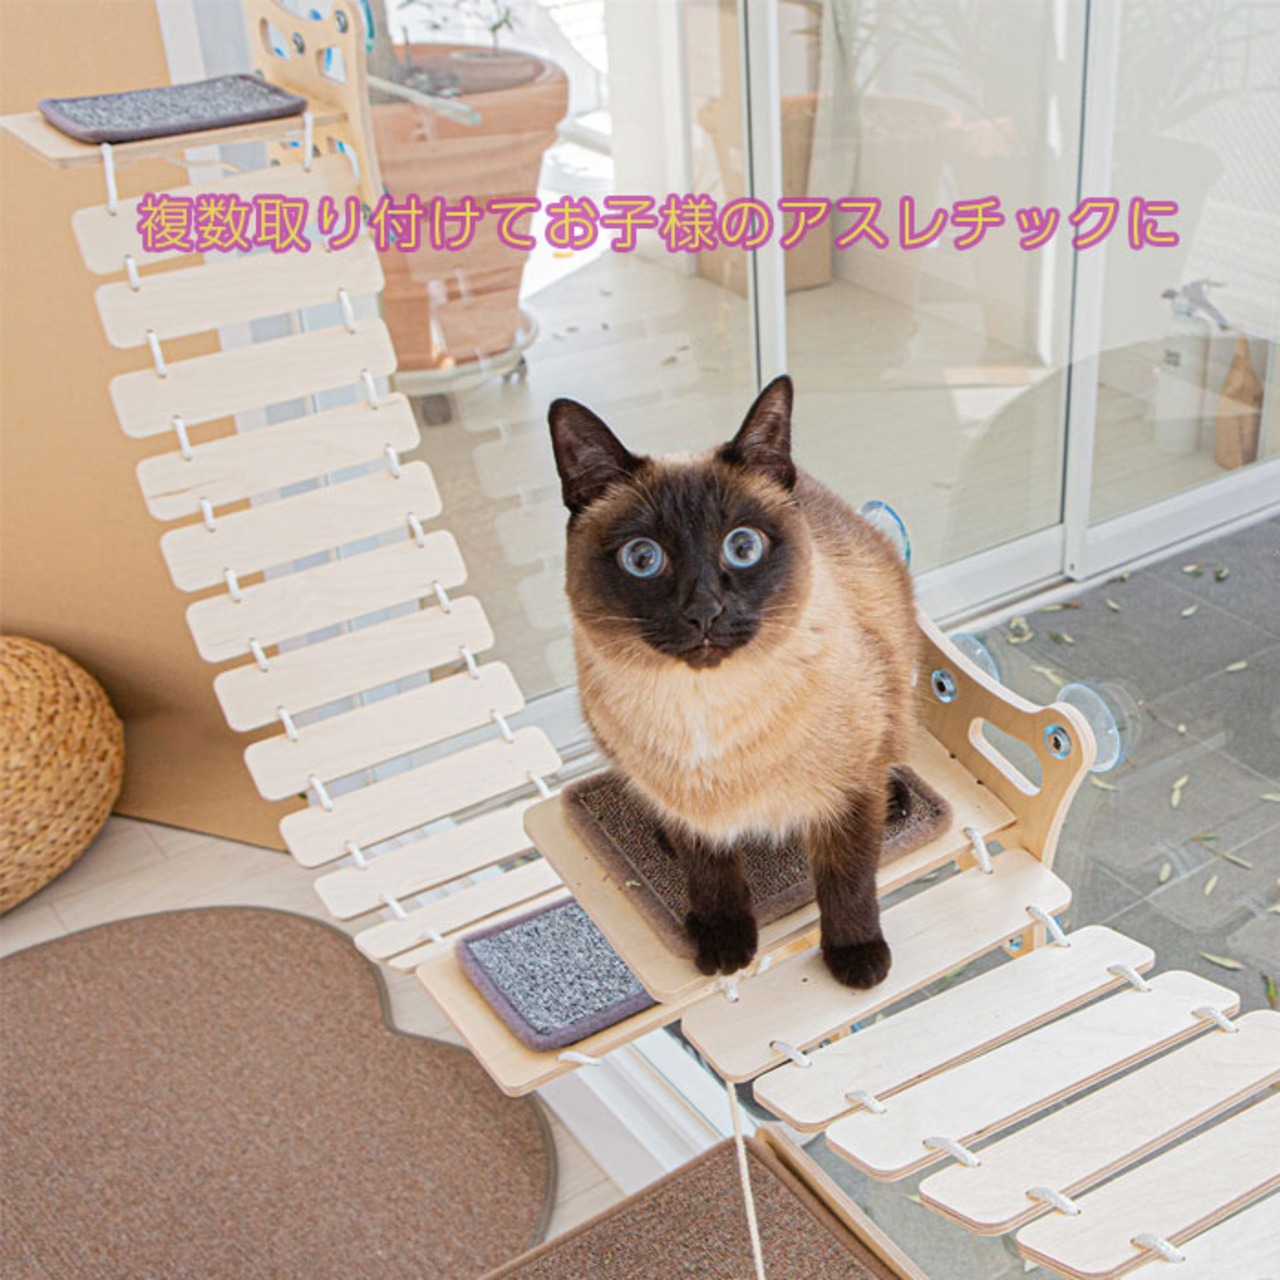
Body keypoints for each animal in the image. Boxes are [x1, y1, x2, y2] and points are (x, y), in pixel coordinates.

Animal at [548, 375, 918, 989]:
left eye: (742, 548)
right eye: (642, 558)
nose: (704, 612)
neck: (708, 707)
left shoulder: (847, 797)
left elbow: (848, 880)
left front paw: (857, 958)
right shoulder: (693, 809)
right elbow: (713, 877)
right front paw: (725, 947)